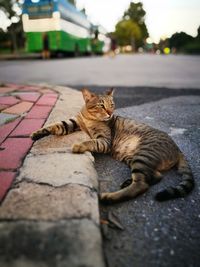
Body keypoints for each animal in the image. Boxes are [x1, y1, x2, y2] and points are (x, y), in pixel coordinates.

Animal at [30, 88, 195, 203]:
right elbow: (56, 125)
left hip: (142, 156)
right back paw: (127, 182)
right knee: (154, 177)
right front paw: (37, 133)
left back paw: (108, 197)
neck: (89, 117)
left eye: (112, 105)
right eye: (101, 106)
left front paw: (79, 145)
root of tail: (177, 148)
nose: (110, 113)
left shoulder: (104, 141)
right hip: (134, 158)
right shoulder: (74, 122)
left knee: (141, 185)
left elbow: (91, 141)